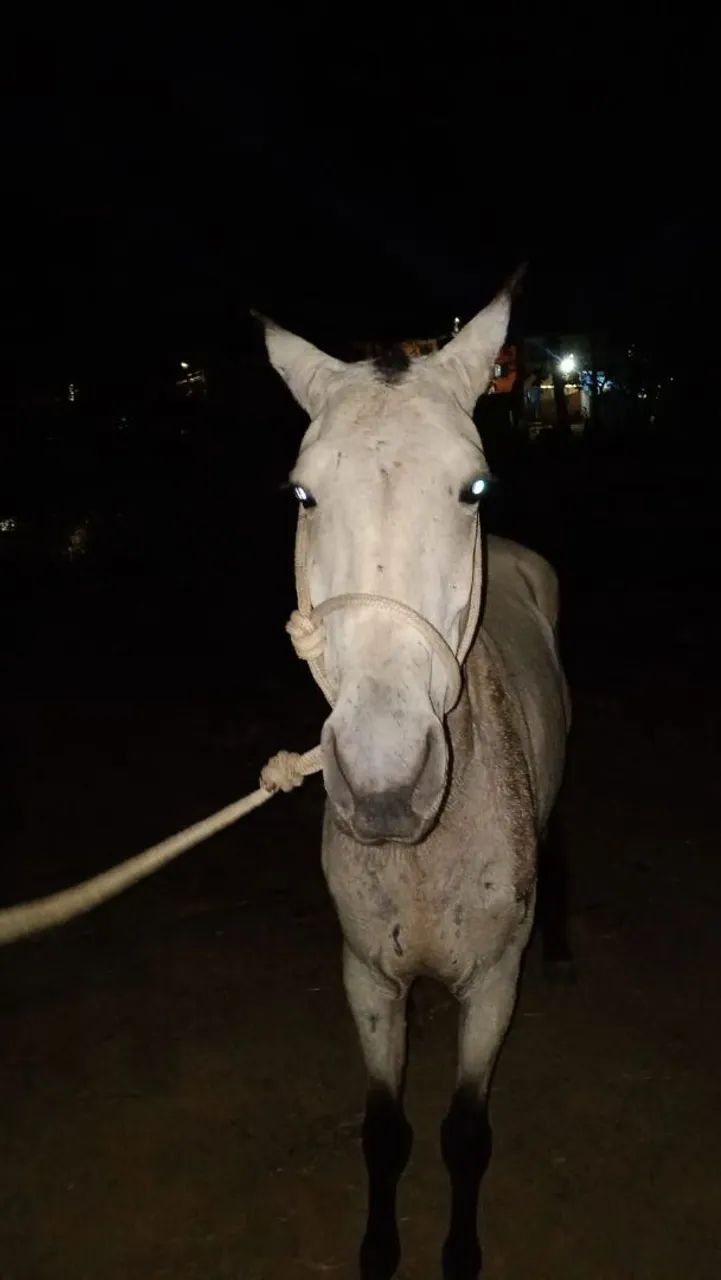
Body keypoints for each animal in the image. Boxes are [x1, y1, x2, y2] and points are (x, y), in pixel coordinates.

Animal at [261, 285, 570, 1279]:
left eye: (473, 487)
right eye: (302, 492)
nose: (386, 786)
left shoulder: (492, 986)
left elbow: (464, 1135)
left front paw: (459, 1255)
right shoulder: (366, 980)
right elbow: (383, 1132)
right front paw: (376, 1250)